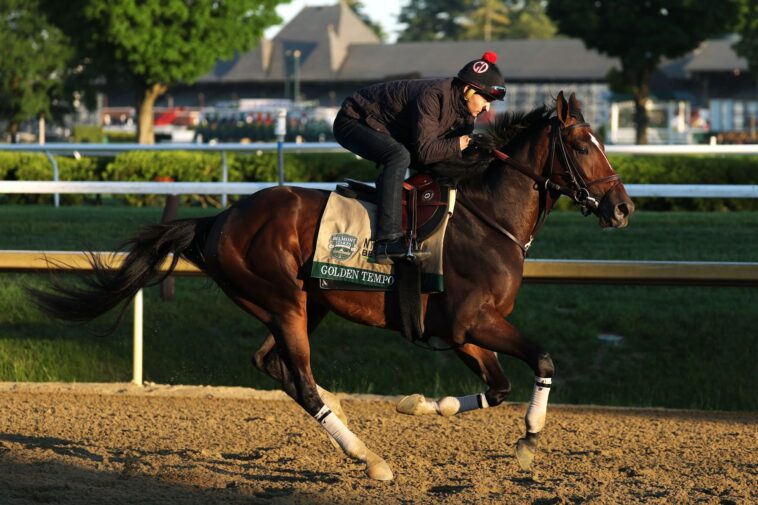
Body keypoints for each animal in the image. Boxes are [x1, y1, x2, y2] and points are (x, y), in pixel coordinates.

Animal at [29, 92, 634, 480]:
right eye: (583, 146)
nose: (623, 208)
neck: (488, 219)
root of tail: (219, 219)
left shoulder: (459, 332)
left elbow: (499, 386)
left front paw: (419, 405)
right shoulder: (473, 320)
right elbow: (543, 359)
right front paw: (530, 438)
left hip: (301, 304)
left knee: (271, 364)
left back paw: (345, 415)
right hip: (283, 301)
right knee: (299, 380)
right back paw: (367, 457)